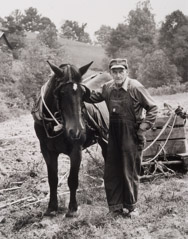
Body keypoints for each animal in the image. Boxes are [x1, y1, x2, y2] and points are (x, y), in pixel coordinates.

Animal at [32, 61, 108, 217]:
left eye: (83, 94)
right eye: (61, 93)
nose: (76, 131)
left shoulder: (76, 150)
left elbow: (72, 180)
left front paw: (73, 208)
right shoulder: (47, 151)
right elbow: (52, 179)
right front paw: (52, 207)